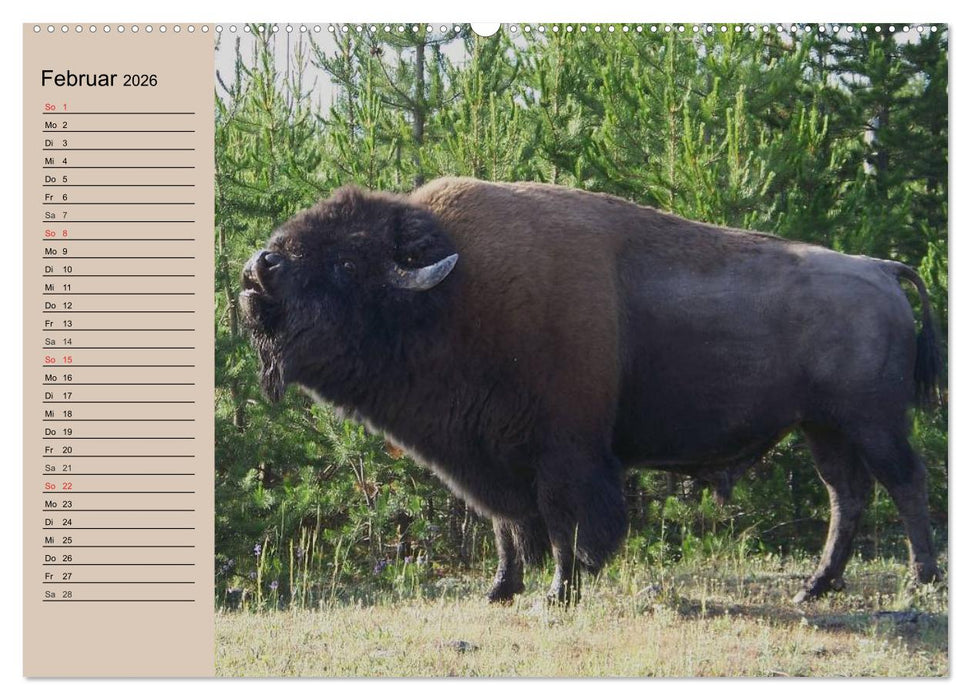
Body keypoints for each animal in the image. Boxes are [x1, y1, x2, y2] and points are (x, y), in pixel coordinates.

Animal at [240, 177, 942, 604]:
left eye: (346, 263)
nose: (256, 270)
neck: (453, 292)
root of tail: (881, 269)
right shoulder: (487, 456)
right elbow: (506, 524)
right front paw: (500, 591)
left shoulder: (564, 452)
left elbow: (561, 521)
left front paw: (560, 591)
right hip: (823, 428)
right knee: (848, 496)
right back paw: (814, 588)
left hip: (873, 424)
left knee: (904, 485)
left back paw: (919, 583)